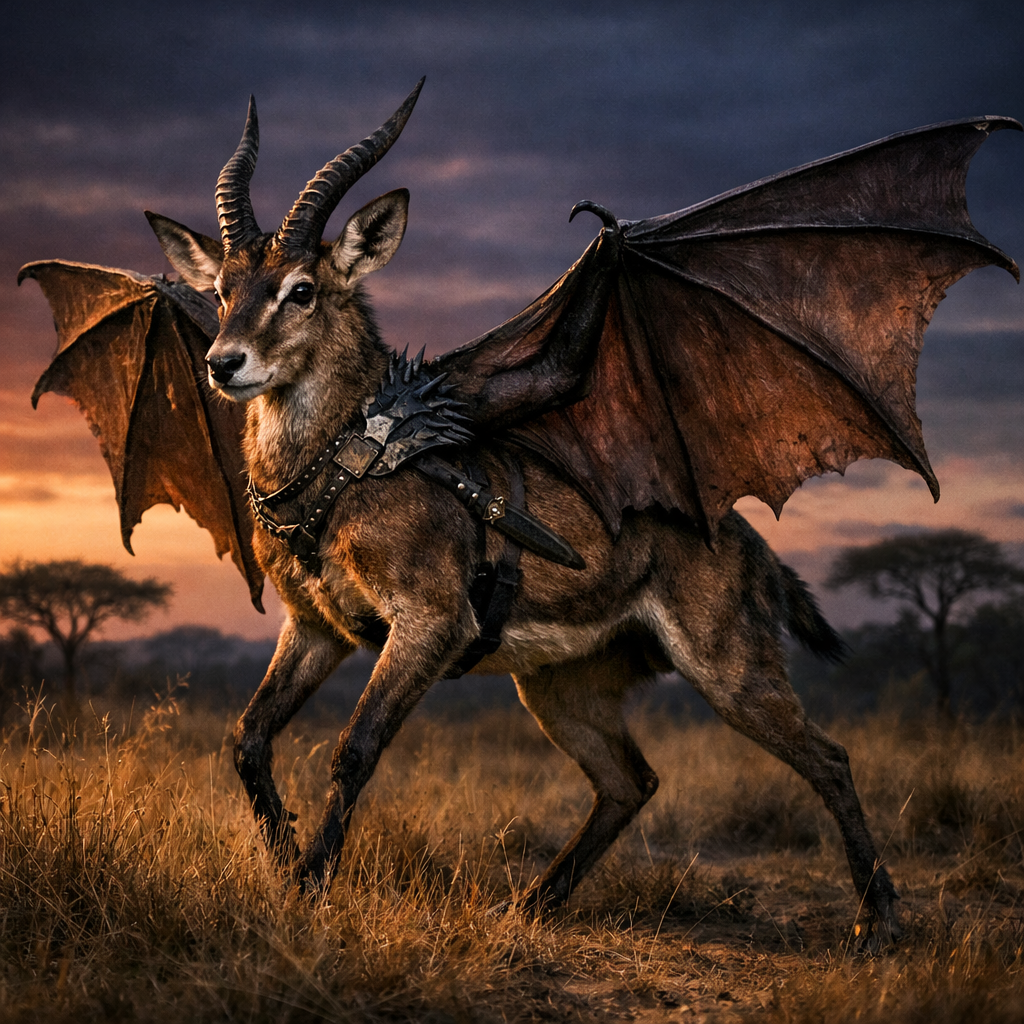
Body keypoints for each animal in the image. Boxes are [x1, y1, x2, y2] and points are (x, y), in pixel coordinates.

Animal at [148, 81, 902, 943]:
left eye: (301, 289)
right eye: (221, 292)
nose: (223, 363)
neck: (343, 466)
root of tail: (745, 540)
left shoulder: (429, 623)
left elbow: (353, 749)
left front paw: (310, 884)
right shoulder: (315, 626)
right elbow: (248, 738)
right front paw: (283, 868)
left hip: (728, 671)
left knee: (829, 757)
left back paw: (878, 923)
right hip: (556, 689)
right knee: (631, 780)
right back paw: (533, 902)